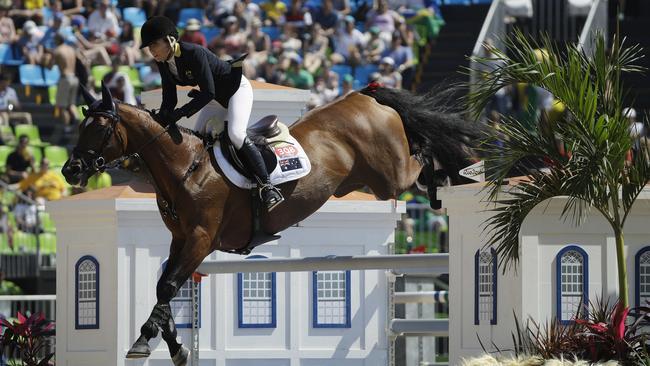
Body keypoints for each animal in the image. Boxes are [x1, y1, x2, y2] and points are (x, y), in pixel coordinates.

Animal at [62, 81, 476, 364]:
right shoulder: (180, 239)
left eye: (99, 129)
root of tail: (365, 95)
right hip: (371, 181)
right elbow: (167, 287)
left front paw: (144, 340)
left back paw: (455, 178)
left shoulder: (201, 238)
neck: (186, 168)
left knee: (421, 158)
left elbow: (167, 286)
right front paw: (176, 345)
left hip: (389, 175)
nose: (70, 170)